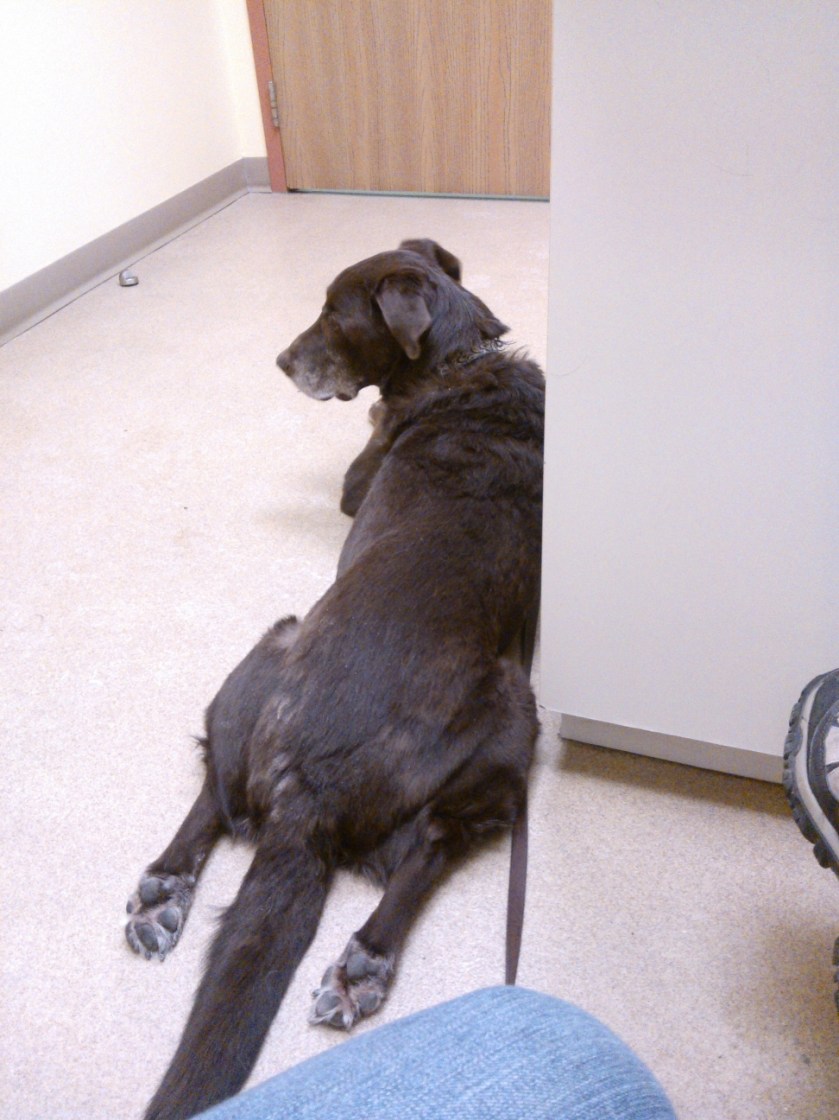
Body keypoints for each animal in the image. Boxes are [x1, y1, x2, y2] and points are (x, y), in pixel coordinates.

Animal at [125, 239, 544, 1120]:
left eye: (331, 314)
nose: (281, 361)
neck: (460, 359)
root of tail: (308, 795)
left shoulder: (360, 480)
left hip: (323, 649)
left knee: (410, 841)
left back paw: (343, 955)